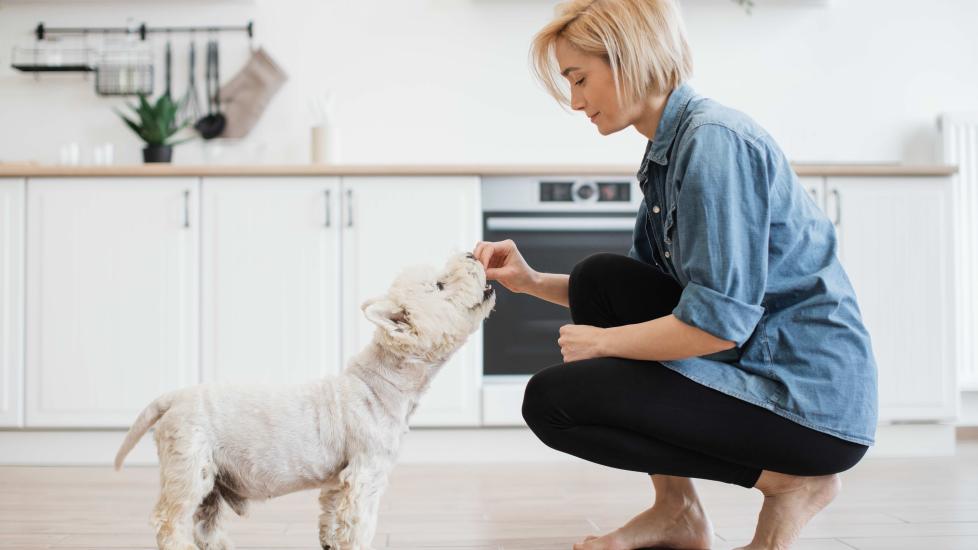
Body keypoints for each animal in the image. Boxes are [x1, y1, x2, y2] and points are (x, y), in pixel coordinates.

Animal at [115, 253, 496, 550]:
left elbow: (331, 520)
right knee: (170, 520)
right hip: (189, 464)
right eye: (440, 286)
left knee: (205, 523)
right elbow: (360, 526)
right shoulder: (367, 473)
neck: (381, 382)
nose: (471, 254)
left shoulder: (338, 482)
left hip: (212, 478)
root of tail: (174, 396)